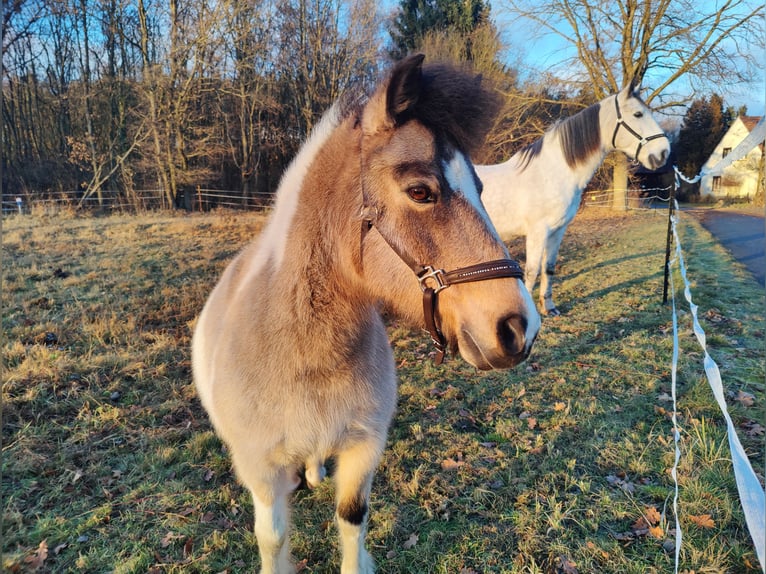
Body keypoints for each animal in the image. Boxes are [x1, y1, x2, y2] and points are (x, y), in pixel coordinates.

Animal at [191, 54, 541, 574]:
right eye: (420, 191)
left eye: (480, 188)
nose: (519, 327)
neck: (305, 352)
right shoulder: (261, 469)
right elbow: (273, 539)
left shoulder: (362, 449)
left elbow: (352, 518)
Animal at [476, 80, 670, 316]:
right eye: (638, 114)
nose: (663, 153)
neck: (552, 172)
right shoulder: (537, 232)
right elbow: (531, 271)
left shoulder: (557, 230)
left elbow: (548, 268)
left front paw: (549, 308)